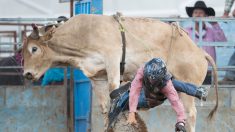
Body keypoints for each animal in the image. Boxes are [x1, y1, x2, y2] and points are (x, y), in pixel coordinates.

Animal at [22, 13, 218, 131]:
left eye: (34, 49)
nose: (27, 74)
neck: (84, 35)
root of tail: (200, 52)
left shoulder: (112, 60)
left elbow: (114, 93)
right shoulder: (97, 76)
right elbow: (104, 107)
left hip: (187, 86)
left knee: (190, 113)